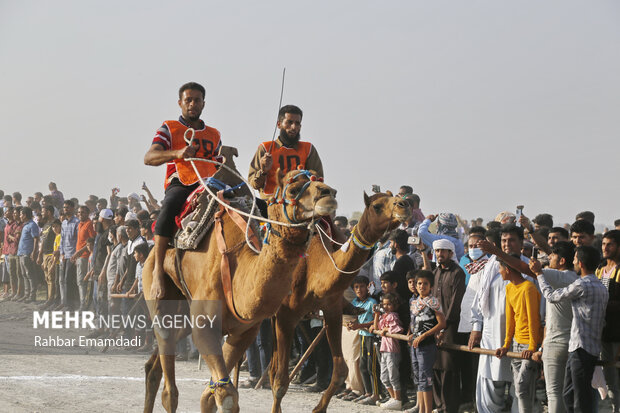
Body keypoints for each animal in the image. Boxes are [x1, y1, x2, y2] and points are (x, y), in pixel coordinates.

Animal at [139, 168, 340, 412]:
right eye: (293, 190)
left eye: (319, 181)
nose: (328, 194)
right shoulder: (205, 325)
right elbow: (225, 395)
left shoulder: (244, 331)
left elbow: (210, 395)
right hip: (159, 293)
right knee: (169, 386)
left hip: (184, 314)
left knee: (154, 368)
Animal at [268, 192, 410, 410]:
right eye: (377, 206)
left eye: (395, 197)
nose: (404, 204)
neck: (314, 271)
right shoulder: (287, 315)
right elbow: (281, 381)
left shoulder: (332, 312)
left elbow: (341, 370)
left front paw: (318, 408)